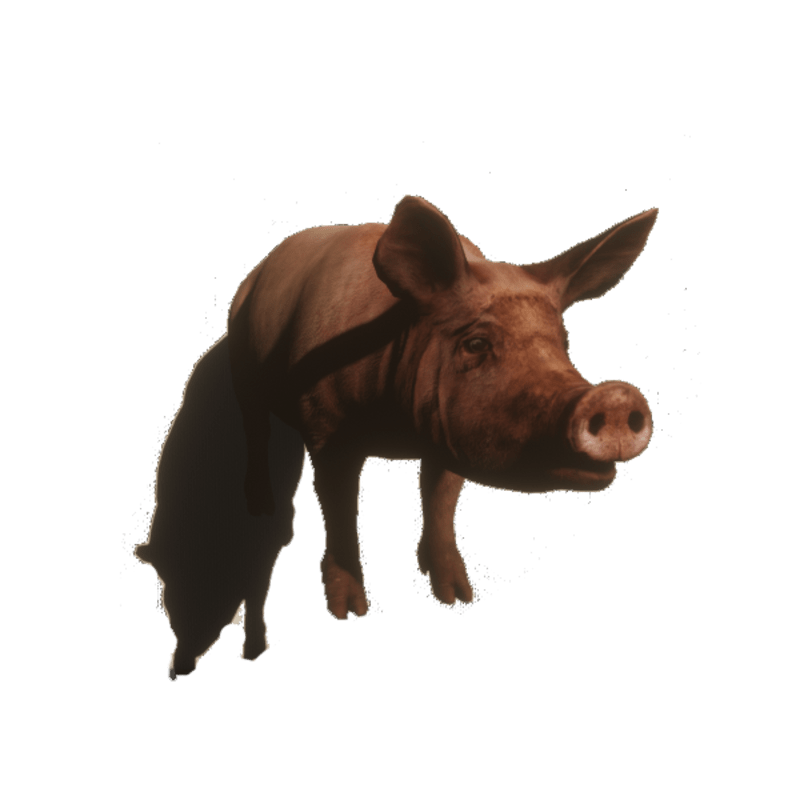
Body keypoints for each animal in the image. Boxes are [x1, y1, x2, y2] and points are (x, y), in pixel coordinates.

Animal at [228, 195, 657, 622]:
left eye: (562, 344)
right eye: (476, 343)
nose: (616, 396)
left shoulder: (449, 432)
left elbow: (440, 501)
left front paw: (458, 597)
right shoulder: (325, 426)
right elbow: (339, 506)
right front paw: (349, 613)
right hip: (241, 360)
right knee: (254, 429)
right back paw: (261, 510)